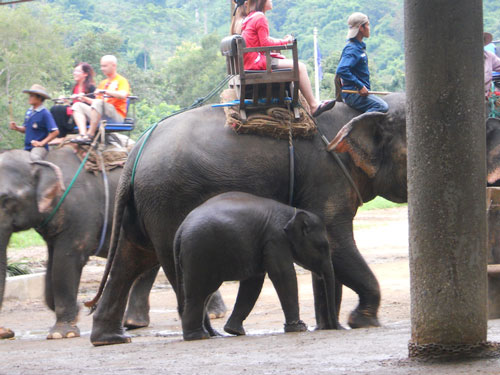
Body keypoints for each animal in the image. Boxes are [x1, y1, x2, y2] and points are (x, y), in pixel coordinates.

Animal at [0, 148, 156, 340]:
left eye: (7, 199)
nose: (5, 332)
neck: (41, 159)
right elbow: (51, 267)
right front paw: (77, 311)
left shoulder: (80, 213)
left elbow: (66, 261)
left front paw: (62, 334)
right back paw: (133, 324)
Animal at [90, 94, 408, 346]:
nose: (337, 324)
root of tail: (135, 152)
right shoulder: (327, 176)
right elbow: (338, 244)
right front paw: (361, 321)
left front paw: (331, 325)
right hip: (167, 201)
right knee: (170, 266)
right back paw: (205, 333)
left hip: (142, 207)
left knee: (129, 260)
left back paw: (110, 339)